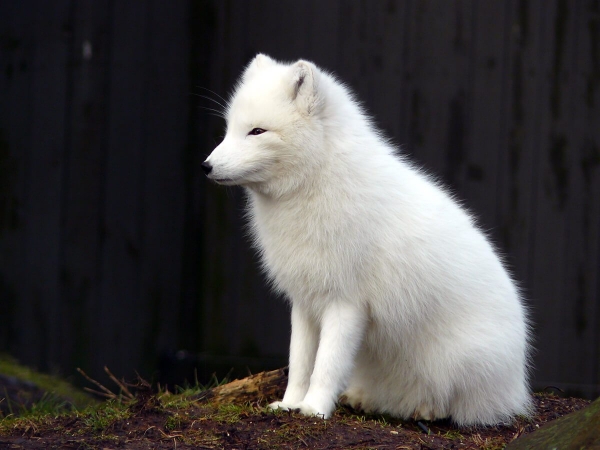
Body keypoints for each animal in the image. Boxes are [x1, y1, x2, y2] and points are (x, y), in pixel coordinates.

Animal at [204, 53, 532, 426]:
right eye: (229, 129)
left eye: (257, 131)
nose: (206, 166)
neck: (316, 183)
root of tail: (519, 386)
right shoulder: (304, 301)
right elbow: (299, 363)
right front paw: (289, 405)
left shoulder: (346, 303)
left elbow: (326, 365)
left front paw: (313, 409)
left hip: (461, 363)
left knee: (460, 405)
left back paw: (428, 409)